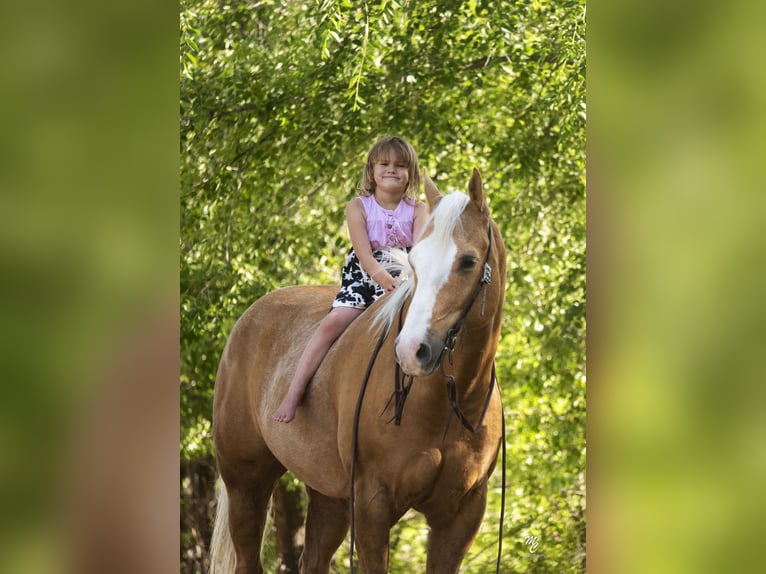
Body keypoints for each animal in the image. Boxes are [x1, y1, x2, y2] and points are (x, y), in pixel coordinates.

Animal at [213, 169, 508, 572]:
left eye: (468, 261)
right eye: (416, 262)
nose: (411, 351)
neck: (441, 403)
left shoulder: (461, 516)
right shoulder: (372, 506)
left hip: (329, 498)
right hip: (246, 484)